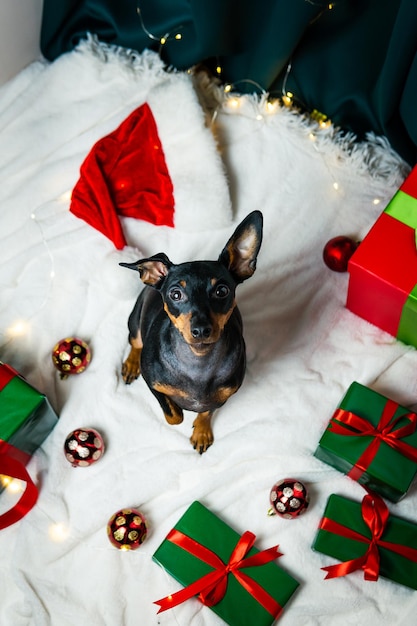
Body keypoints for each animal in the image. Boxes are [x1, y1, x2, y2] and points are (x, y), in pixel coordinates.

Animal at [120, 208, 262, 448]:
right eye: (175, 294)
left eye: (222, 291)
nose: (201, 330)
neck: (198, 361)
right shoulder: (153, 385)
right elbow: (174, 415)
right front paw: (180, 408)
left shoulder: (222, 396)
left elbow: (206, 411)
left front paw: (202, 432)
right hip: (135, 323)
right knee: (135, 342)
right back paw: (131, 365)